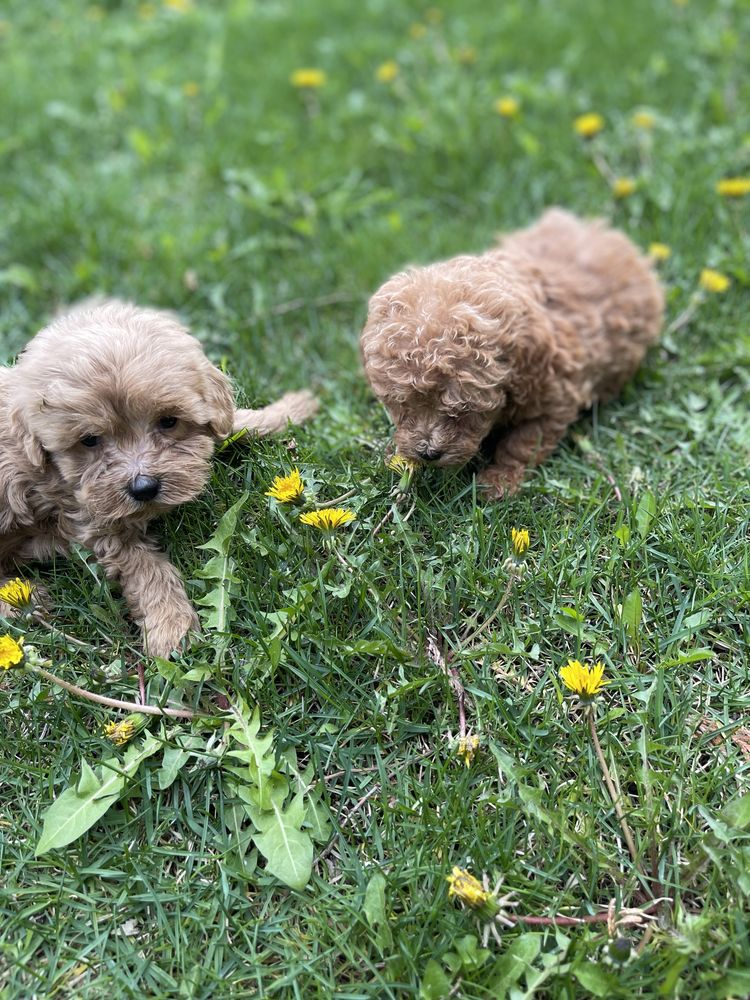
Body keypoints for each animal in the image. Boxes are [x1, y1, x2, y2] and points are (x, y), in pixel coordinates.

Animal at [0, 296, 318, 656]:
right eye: (90, 440)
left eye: (168, 421)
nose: (143, 487)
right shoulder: (93, 518)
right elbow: (145, 565)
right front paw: (171, 626)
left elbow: (237, 421)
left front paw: (293, 407)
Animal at [362, 206, 664, 496]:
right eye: (402, 405)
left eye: (462, 411)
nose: (428, 453)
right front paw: (393, 454)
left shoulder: (553, 404)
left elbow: (523, 443)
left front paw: (499, 481)